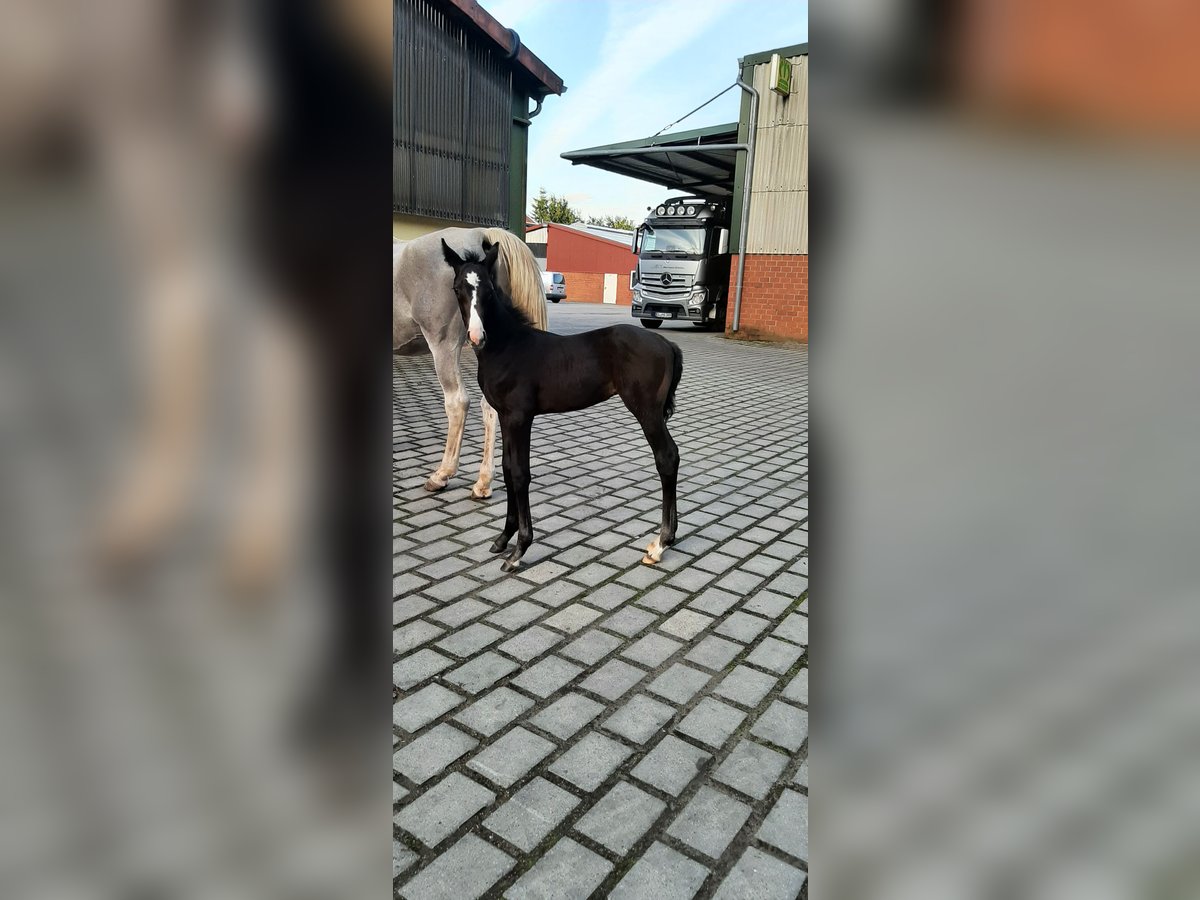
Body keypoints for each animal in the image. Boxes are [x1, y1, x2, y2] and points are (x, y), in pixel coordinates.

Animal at [440, 238, 684, 572]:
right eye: (457, 289)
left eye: (488, 289)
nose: (477, 337)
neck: (508, 346)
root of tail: (667, 344)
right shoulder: (505, 416)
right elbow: (506, 469)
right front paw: (503, 539)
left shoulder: (520, 417)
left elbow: (520, 473)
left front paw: (519, 550)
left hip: (647, 411)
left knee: (667, 457)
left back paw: (660, 544)